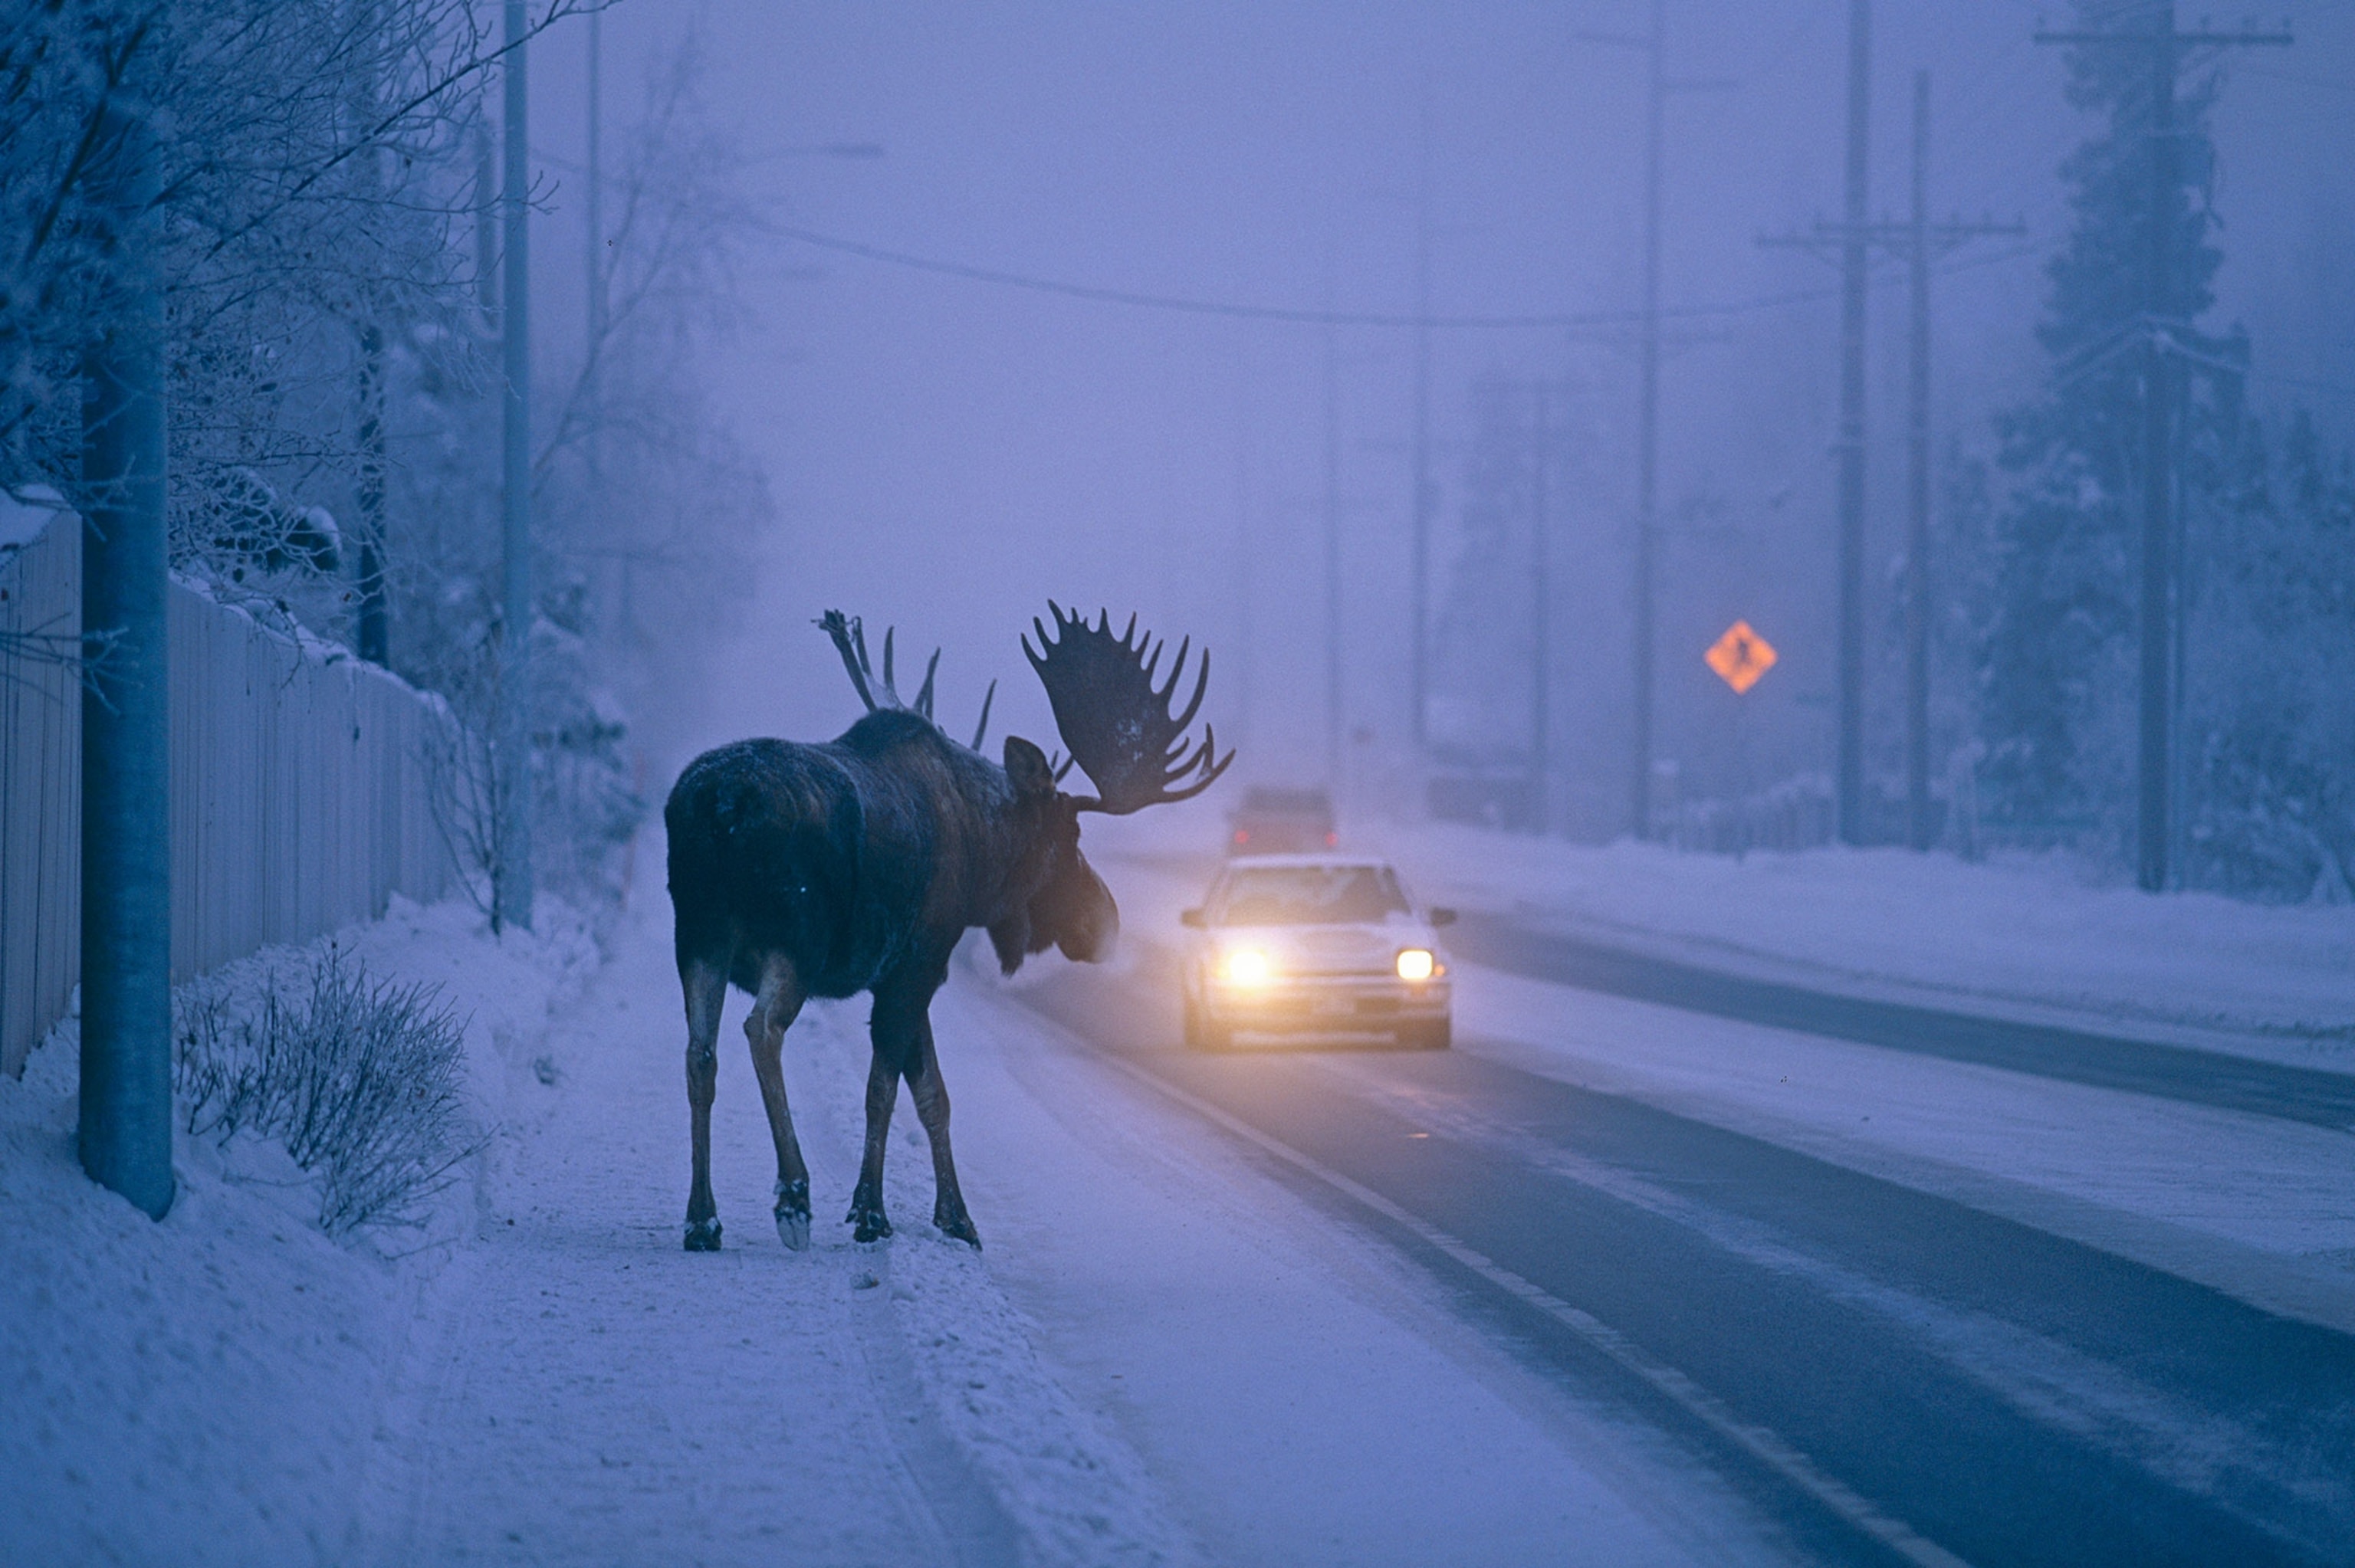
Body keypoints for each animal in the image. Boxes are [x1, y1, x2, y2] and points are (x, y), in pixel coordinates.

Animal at [663, 604, 1231, 1252]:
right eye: (1070, 836)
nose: (1106, 923)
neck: (984, 859)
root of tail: (718, 805)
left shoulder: (915, 974)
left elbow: (934, 1094)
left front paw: (957, 1218)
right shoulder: (915, 962)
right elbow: (883, 1090)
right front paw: (871, 1213)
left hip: (699, 936)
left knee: (700, 1054)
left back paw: (702, 1218)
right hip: (793, 940)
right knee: (761, 1030)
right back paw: (794, 1197)